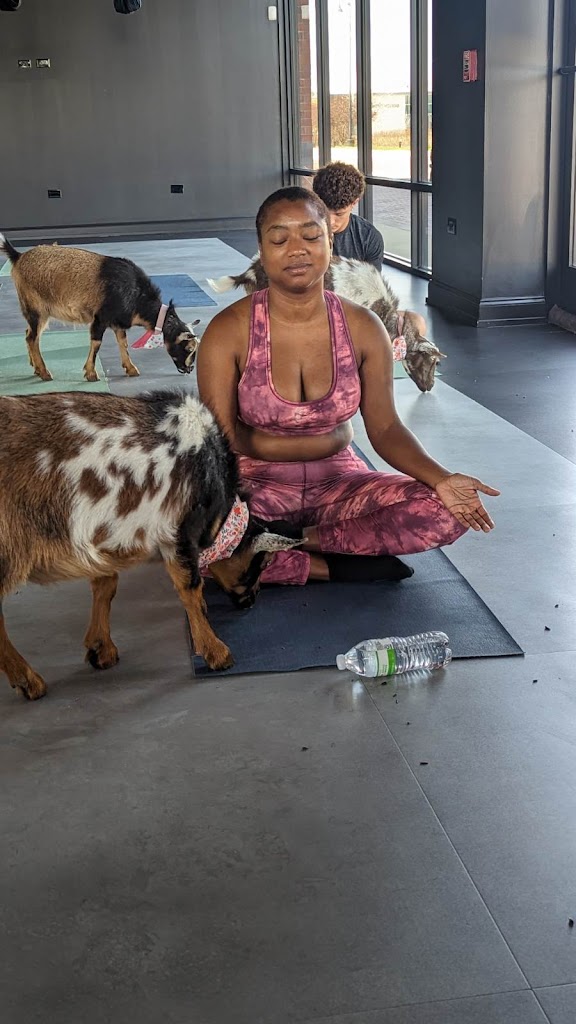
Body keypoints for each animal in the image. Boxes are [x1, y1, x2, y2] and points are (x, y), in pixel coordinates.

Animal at [0, 235, 200, 383]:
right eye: (189, 348)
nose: (189, 369)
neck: (136, 295)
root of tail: (18, 256)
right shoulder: (101, 318)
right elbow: (96, 343)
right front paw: (91, 374)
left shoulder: (118, 321)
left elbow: (123, 342)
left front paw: (131, 368)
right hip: (36, 308)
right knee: (32, 338)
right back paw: (44, 372)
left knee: (29, 335)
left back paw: (35, 368)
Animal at [0, 389, 299, 700]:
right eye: (262, 563)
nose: (251, 600)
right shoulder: (179, 530)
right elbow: (190, 588)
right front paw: (216, 652)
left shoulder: (104, 539)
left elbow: (105, 585)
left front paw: (100, 648)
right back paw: (28, 680)